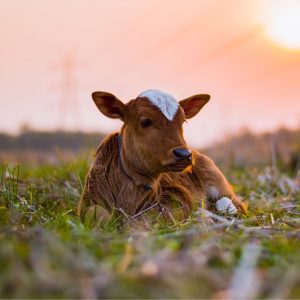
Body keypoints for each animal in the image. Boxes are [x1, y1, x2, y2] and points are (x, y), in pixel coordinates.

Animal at [78, 89, 247, 223]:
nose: (184, 154)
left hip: (218, 181)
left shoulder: (176, 196)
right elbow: (97, 212)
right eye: (145, 121)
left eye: (183, 121)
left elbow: (154, 216)